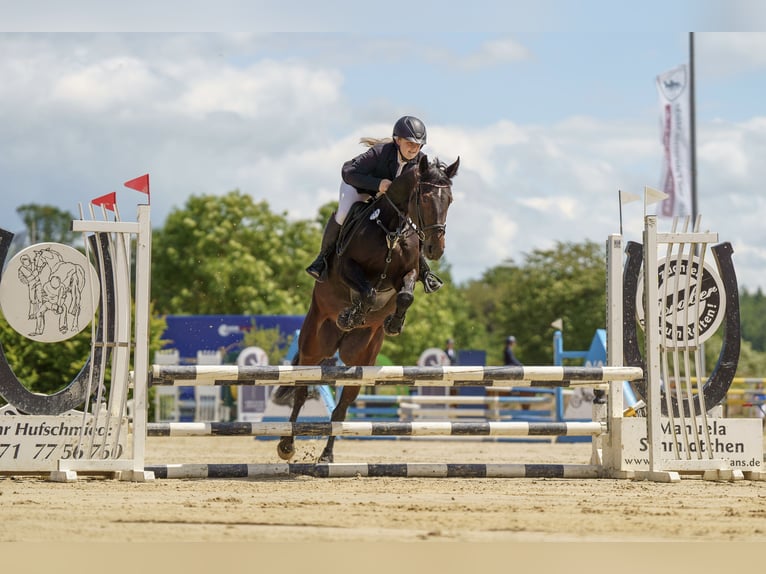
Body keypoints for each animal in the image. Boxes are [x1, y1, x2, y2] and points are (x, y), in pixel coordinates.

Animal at [280, 156, 464, 464]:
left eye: (449, 200)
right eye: (424, 198)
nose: (435, 249)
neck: (392, 231)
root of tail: (337, 346)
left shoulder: (408, 273)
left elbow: (405, 294)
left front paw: (394, 323)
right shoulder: (348, 268)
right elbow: (366, 292)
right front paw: (351, 315)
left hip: (360, 360)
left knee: (341, 408)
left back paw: (327, 456)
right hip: (313, 347)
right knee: (301, 391)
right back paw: (286, 445)